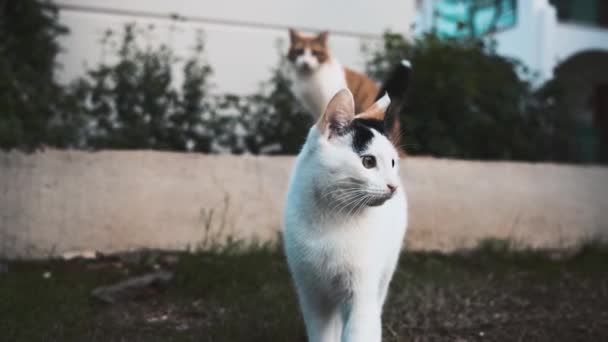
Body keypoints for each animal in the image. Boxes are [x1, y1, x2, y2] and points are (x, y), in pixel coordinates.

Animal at [282, 89, 406, 342]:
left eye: (392, 162)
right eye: (368, 161)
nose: (393, 186)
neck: (333, 218)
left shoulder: (361, 295)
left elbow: (361, 330)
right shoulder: (312, 295)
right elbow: (322, 335)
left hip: (384, 272)